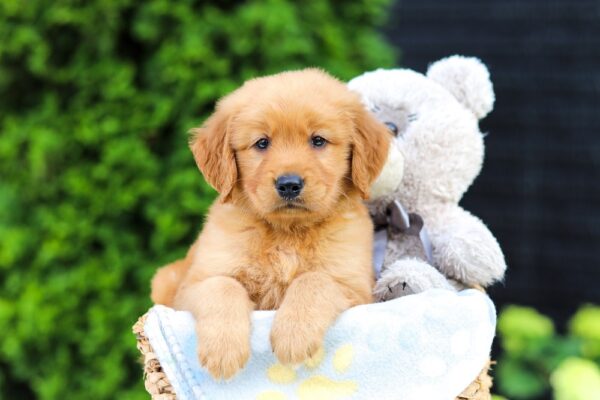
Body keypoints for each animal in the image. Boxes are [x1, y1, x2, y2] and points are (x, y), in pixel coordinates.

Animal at [150, 69, 390, 378]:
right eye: (262, 143)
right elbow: (223, 286)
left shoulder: (356, 288)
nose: (289, 184)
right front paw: (223, 350)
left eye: (318, 140)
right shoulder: (191, 288)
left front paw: (293, 336)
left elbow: (314, 280)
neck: (287, 233)